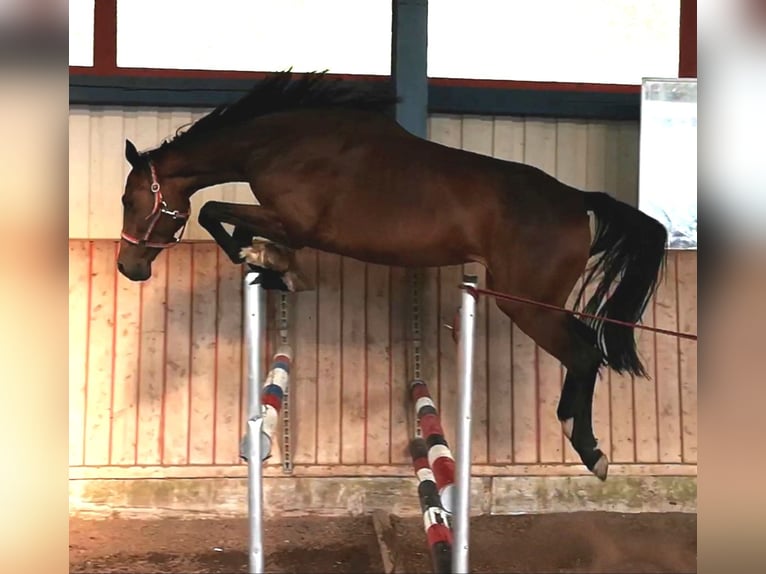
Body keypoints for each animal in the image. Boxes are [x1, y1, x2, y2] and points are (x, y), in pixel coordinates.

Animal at [116, 70, 668, 481]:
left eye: (129, 199)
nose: (129, 267)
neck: (283, 143)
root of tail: (577, 200)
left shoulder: (293, 223)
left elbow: (215, 213)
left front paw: (269, 263)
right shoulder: (284, 222)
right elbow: (226, 220)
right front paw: (272, 267)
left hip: (526, 303)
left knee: (585, 355)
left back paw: (590, 449)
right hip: (535, 303)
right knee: (587, 351)